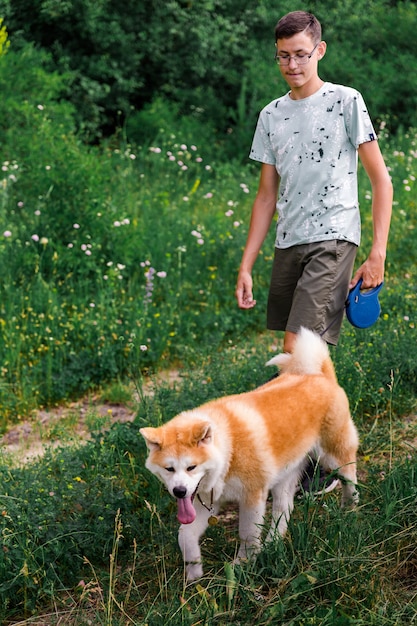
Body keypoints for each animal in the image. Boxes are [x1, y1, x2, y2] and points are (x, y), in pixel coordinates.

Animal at [140, 330, 358, 576]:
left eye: (191, 467)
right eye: (169, 469)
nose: (179, 491)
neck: (229, 450)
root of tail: (320, 375)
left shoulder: (252, 497)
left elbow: (247, 535)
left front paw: (242, 566)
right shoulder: (207, 502)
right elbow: (184, 536)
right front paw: (194, 575)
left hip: (333, 456)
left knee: (350, 478)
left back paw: (350, 508)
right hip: (285, 476)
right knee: (284, 510)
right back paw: (273, 543)